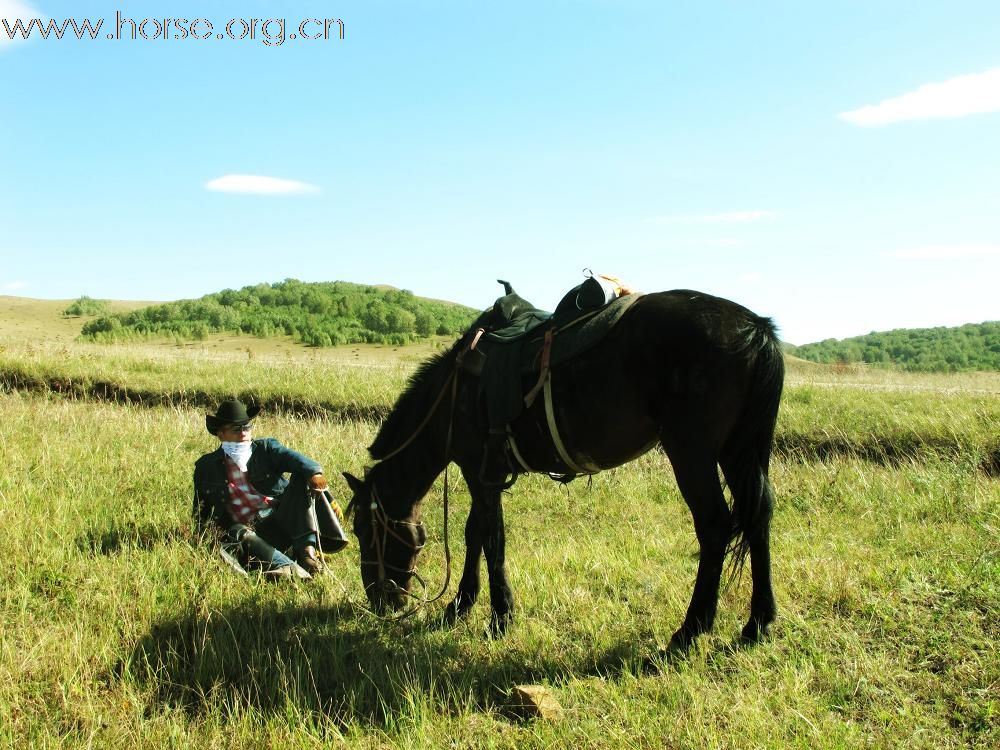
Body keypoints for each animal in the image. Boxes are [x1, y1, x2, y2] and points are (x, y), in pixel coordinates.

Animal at [344, 290, 788, 652]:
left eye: (364, 530)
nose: (380, 601)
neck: (452, 396)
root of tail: (755, 327)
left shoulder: (480, 474)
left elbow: (492, 539)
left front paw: (499, 618)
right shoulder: (484, 474)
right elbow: (475, 535)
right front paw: (459, 606)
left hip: (692, 452)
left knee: (715, 526)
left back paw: (690, 631)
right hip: (738, 451)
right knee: (759, 514)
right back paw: (758, 623)